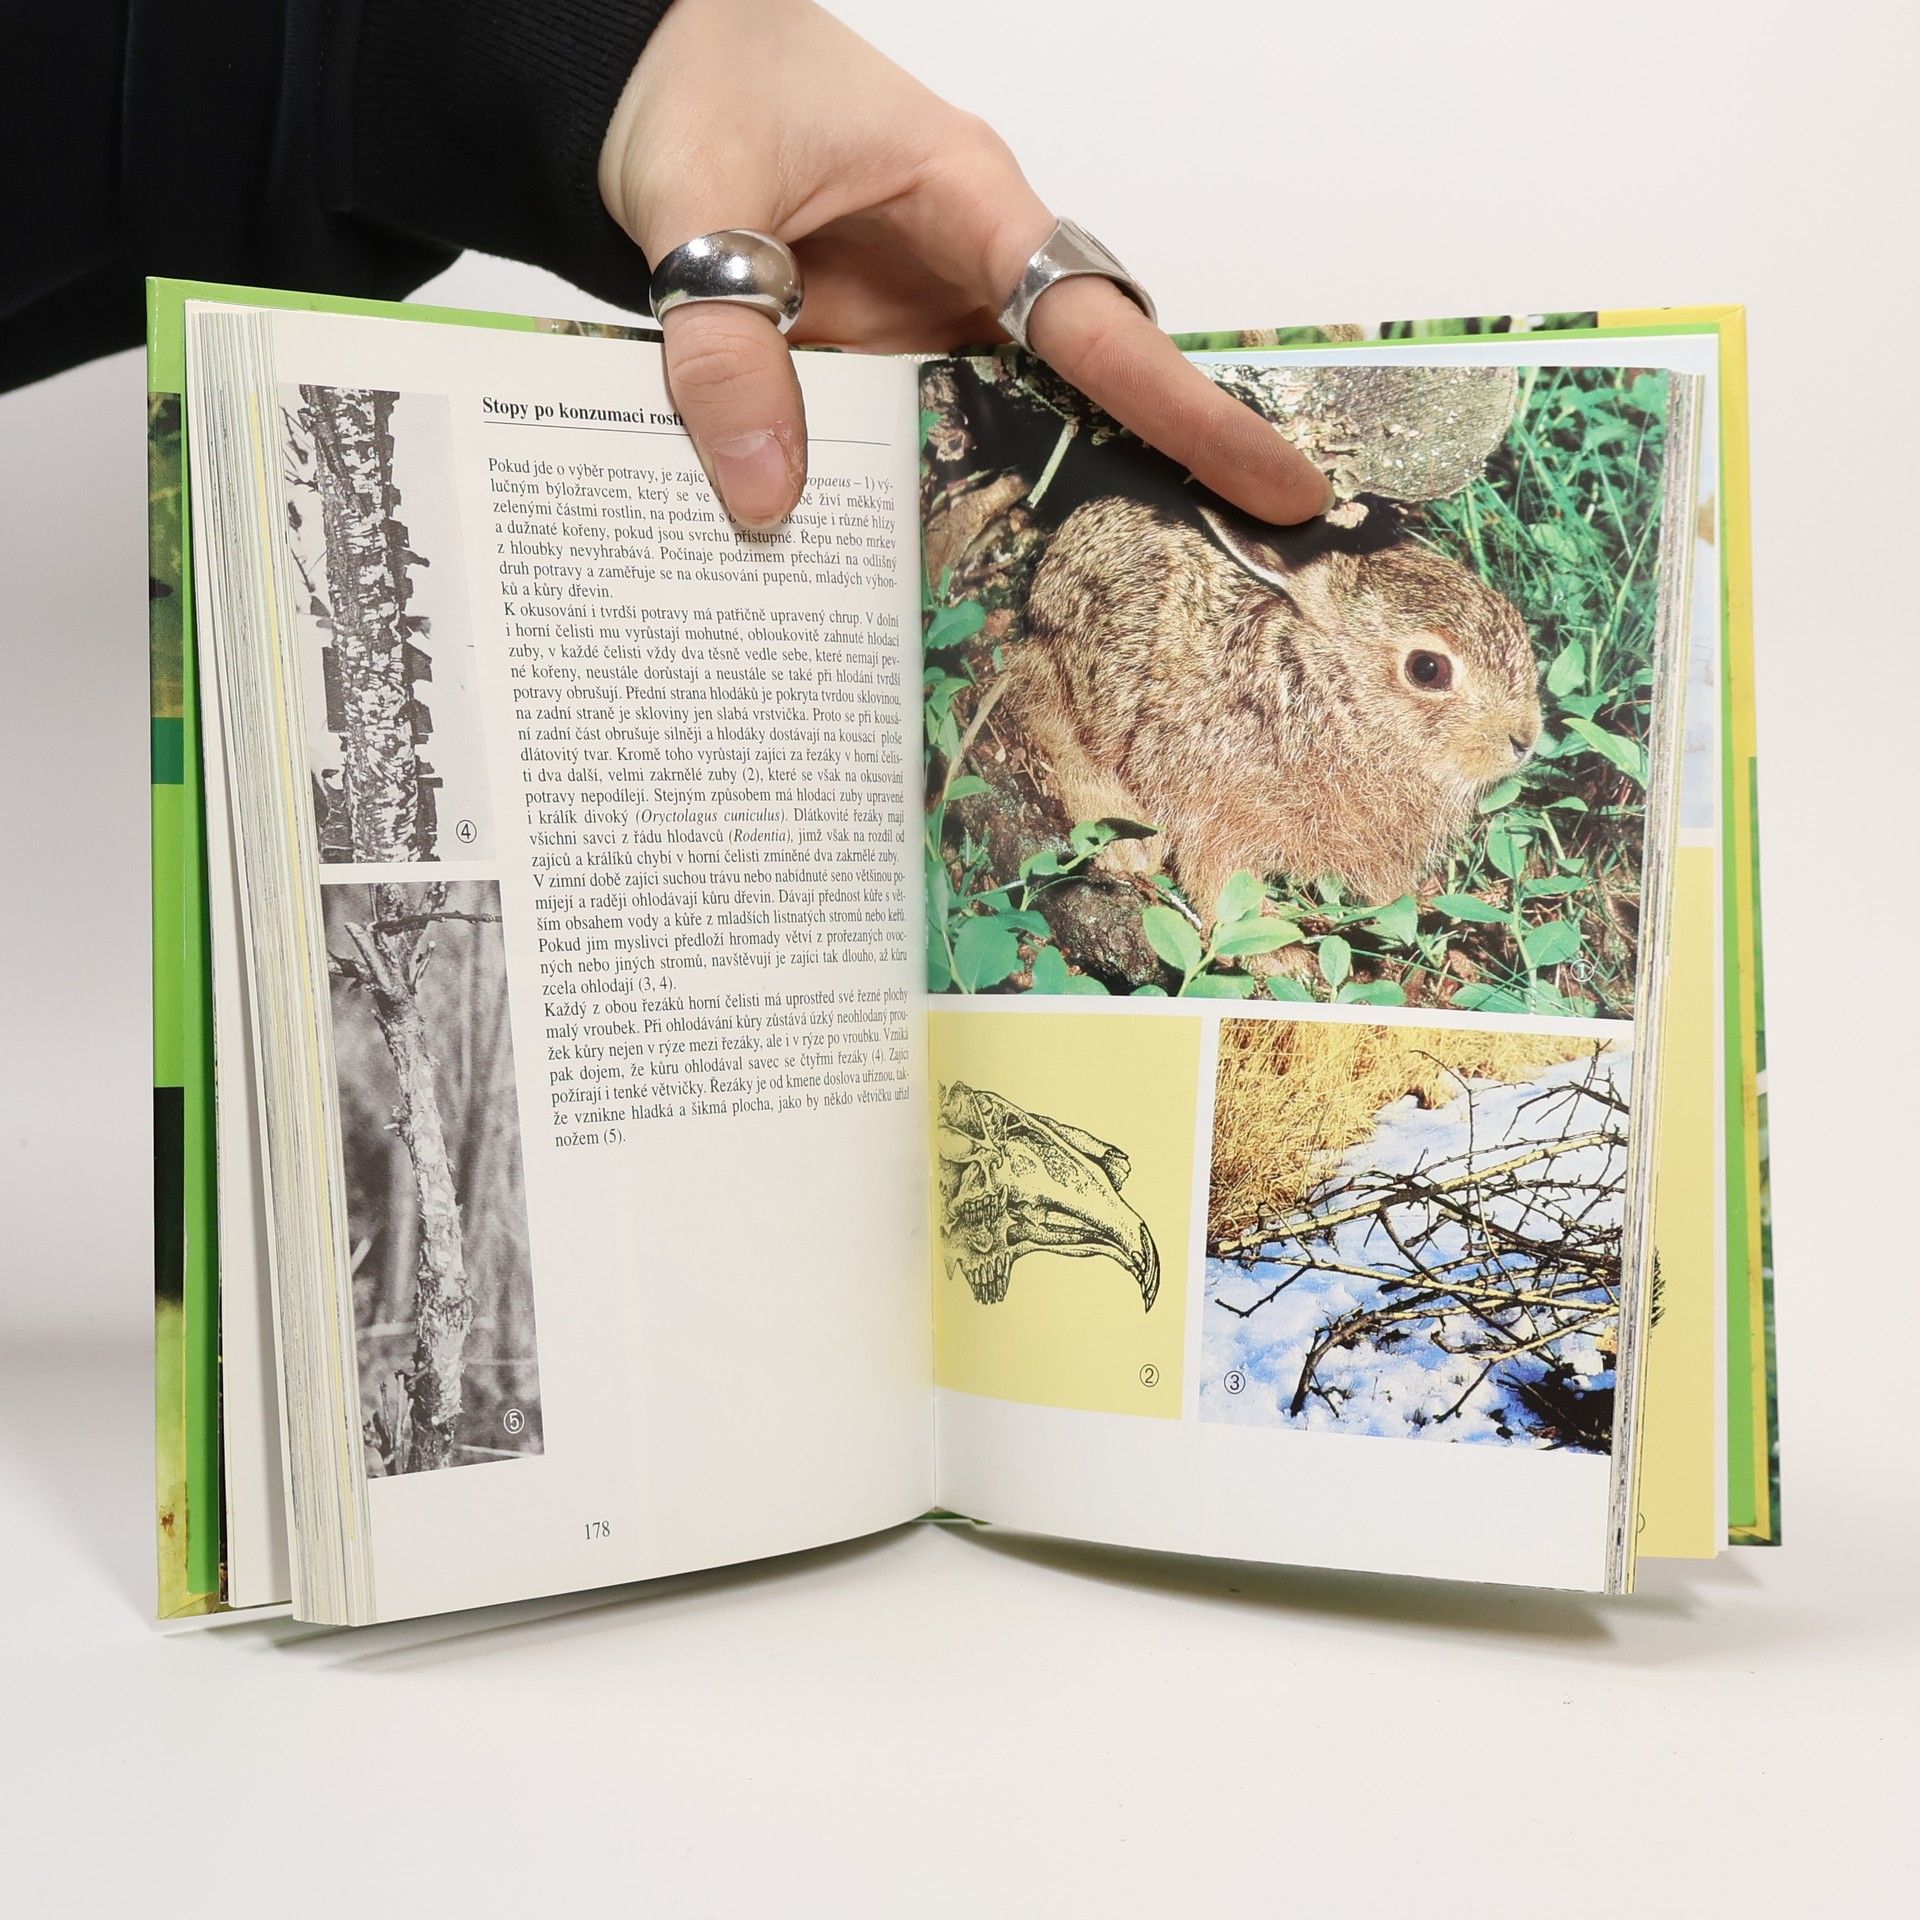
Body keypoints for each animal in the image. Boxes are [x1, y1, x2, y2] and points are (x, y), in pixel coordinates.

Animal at [1009, 494, 1544, 932]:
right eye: (1427, 669)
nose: (1525, 740)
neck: (1334, 699)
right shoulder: (1215, 811)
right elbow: (1219, 889)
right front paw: (1283, 959)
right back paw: (1130, 848)